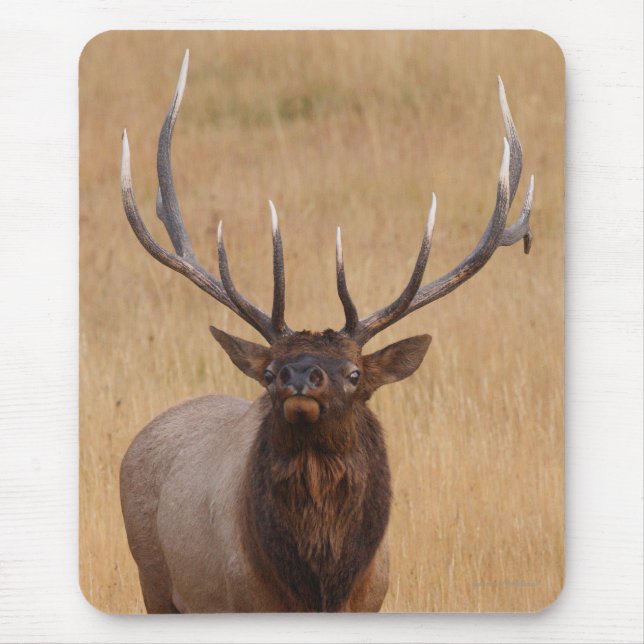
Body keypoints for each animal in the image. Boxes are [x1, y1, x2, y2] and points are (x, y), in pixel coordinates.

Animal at [119, 50, 534, 613]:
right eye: (269, 371)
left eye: (355, 373)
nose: (299, 376)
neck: (319, 586)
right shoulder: (244, 600)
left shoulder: (373, 598)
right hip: (155, 584)